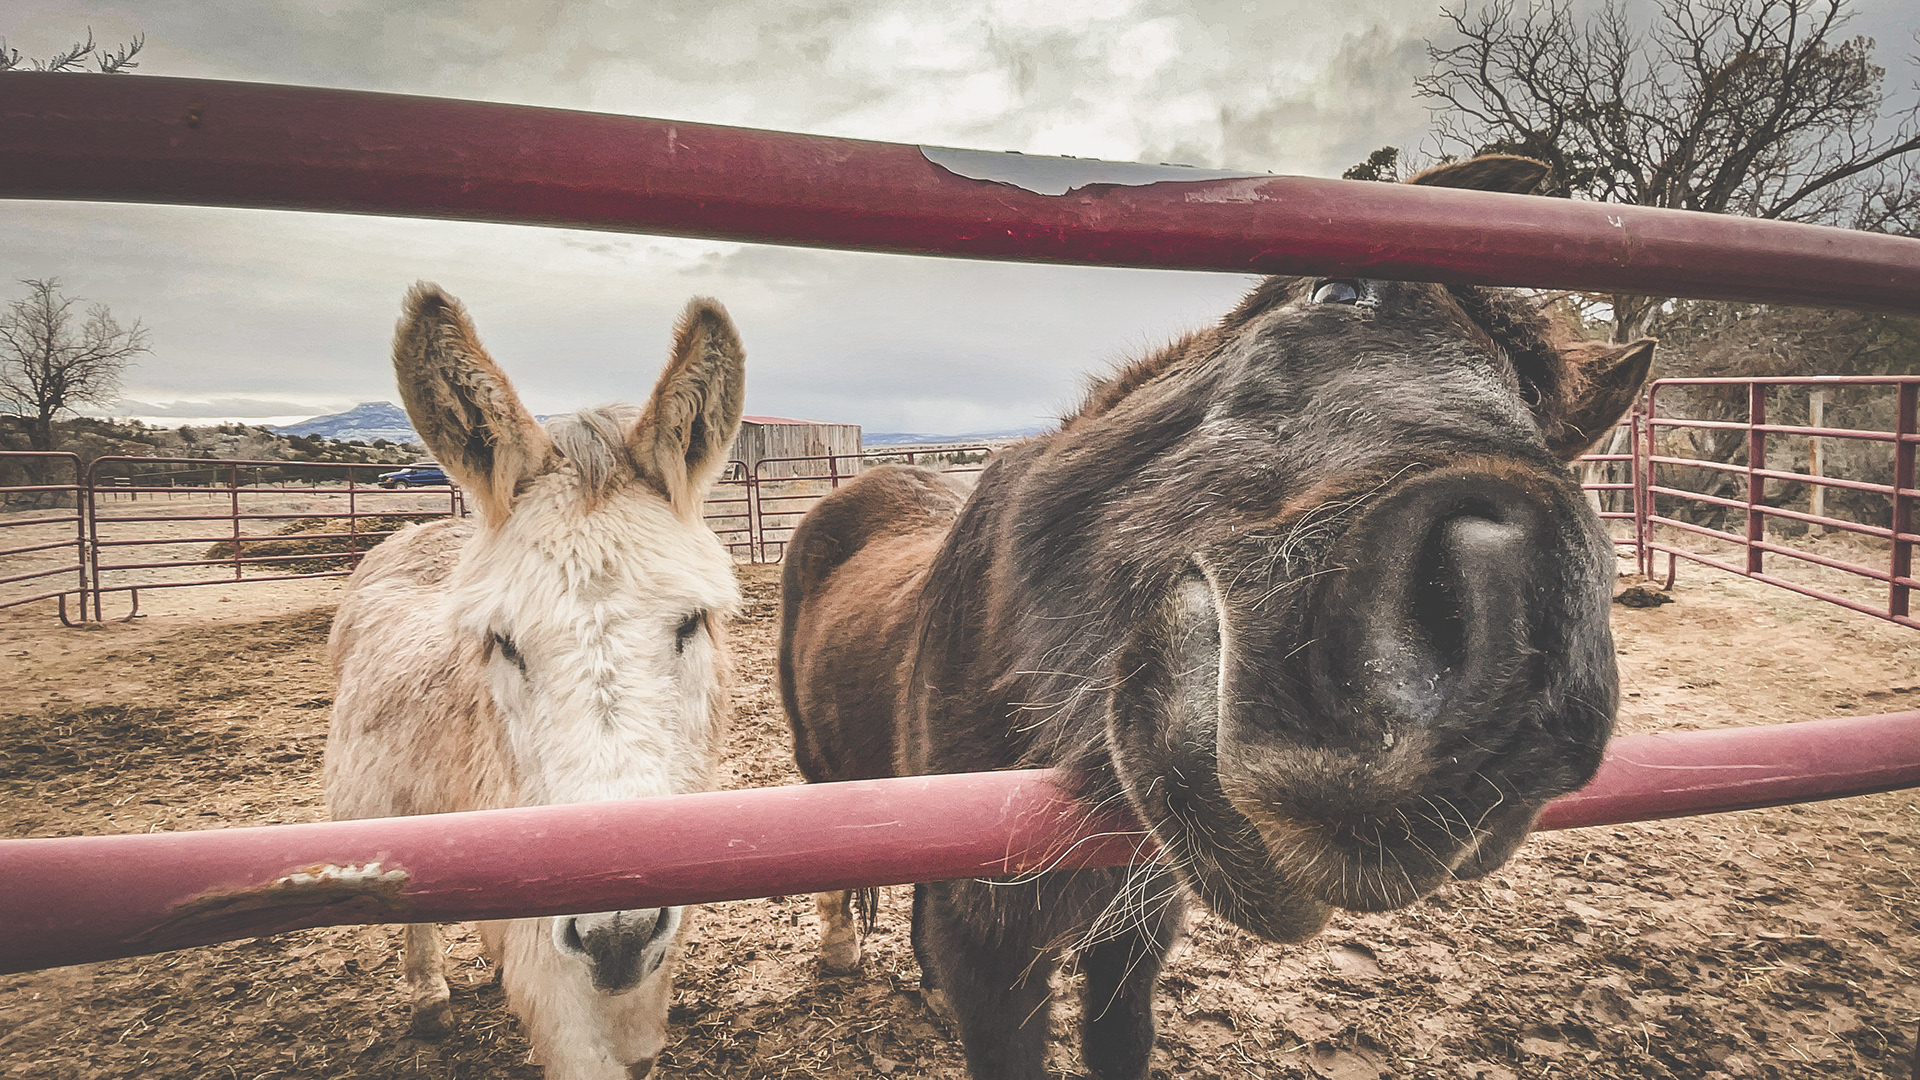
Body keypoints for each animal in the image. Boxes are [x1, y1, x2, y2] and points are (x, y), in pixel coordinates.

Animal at [779, 157, 1654, 1080]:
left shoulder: (1136, 932)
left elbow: (1120, 1042)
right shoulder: (993, 956)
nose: (1504, 655)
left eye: (1553, 429)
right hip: (823, 770)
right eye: (1338, 290)